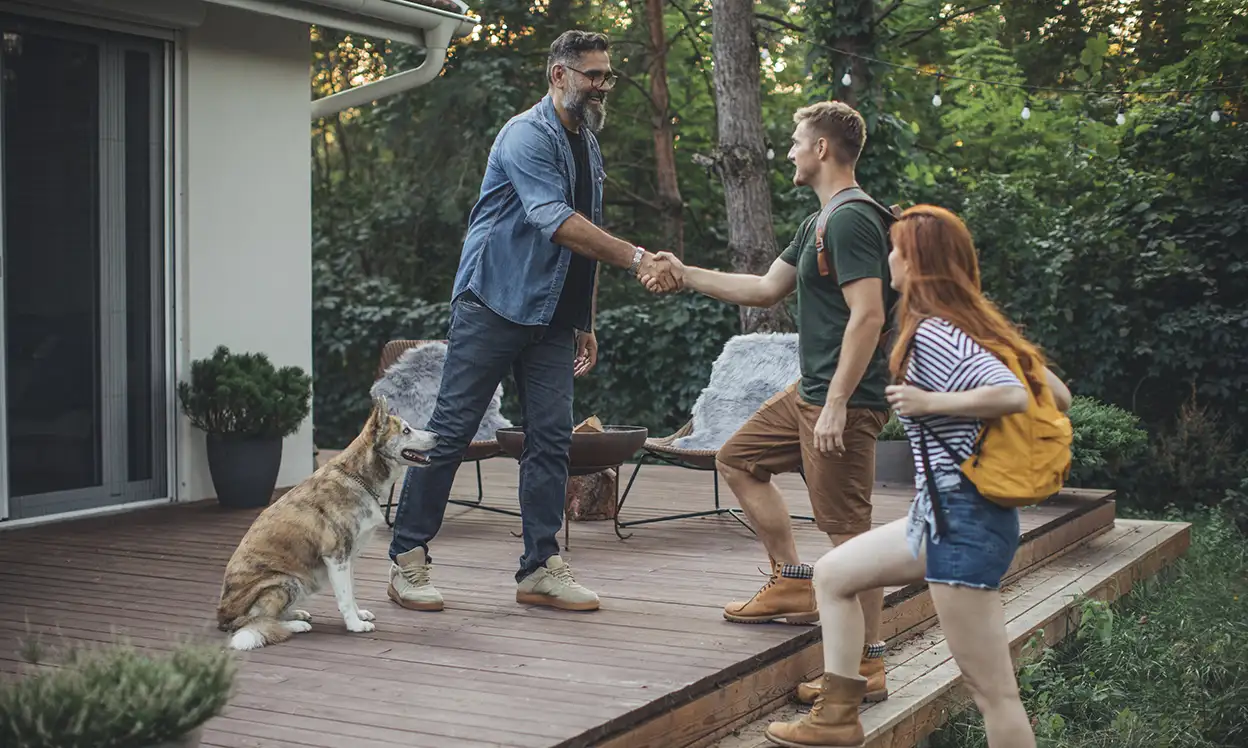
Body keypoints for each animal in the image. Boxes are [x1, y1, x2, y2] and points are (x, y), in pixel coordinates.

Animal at [210, 397, 434, 649]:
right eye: (406, 430)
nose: (437, 436)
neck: (358, 477)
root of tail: (223, 617)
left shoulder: (348, 558)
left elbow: (351, 591)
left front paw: (359, 615)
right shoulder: (336, 557)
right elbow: (345, 596)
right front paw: (355, 625)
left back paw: (296, 614)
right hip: (286, 581)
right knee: (258, 622)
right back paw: (296, 625)